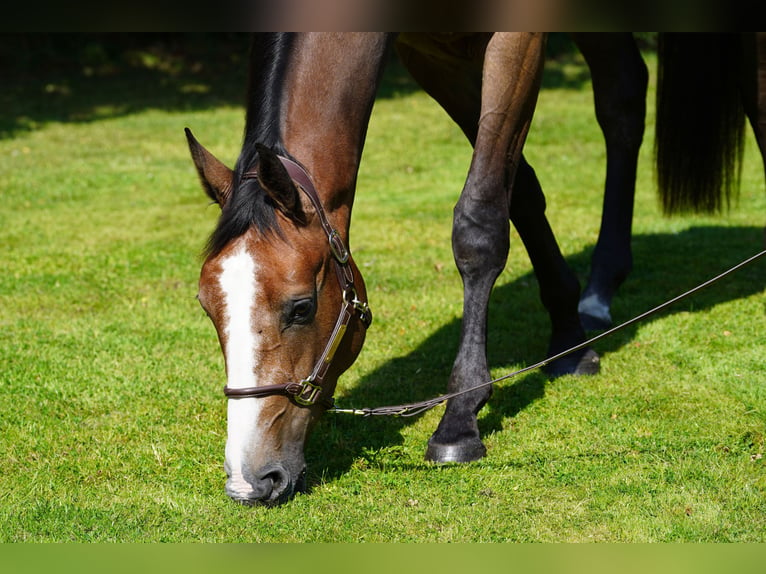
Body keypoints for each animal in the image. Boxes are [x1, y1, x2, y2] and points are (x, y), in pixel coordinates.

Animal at [188, 33, 608, 506]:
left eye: (301, 308)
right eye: (207, 307)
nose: (250, 481)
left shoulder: (518, 41)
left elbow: (480, 222)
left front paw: (459, 421)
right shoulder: (433, 58)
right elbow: (520, 191)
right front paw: (567, 332)